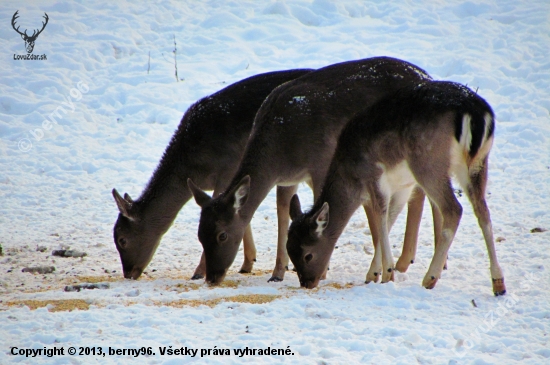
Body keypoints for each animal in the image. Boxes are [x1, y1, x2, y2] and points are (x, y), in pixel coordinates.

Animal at [111, 68, 314, 278]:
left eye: (122, 239)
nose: (128, 273)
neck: (192, 165)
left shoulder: (227, 170)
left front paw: (199, 272)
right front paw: (247, 262)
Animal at [188, 56, 442, 284]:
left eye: (222, 235)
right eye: (199, 236)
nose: (212, 277)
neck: (280, 152)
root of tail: (426, 75)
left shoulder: (321, 163)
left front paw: (323, 270)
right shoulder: (289, 178)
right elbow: (283, 212)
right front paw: (278, 272)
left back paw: (410, 263)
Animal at [288, 80, 508, 296]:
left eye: (308, 255)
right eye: (290, 253)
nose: (306, 283)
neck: (351, 178)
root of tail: (476, 113)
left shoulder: (375, 175)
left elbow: (381, 216)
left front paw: (387, 273)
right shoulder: (404, 186)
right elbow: (390, 218)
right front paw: (373, 273)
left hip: (429, 163)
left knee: (454, 209)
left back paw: (430, 278)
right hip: (477, 164)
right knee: (482, 210)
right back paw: (498, 282)